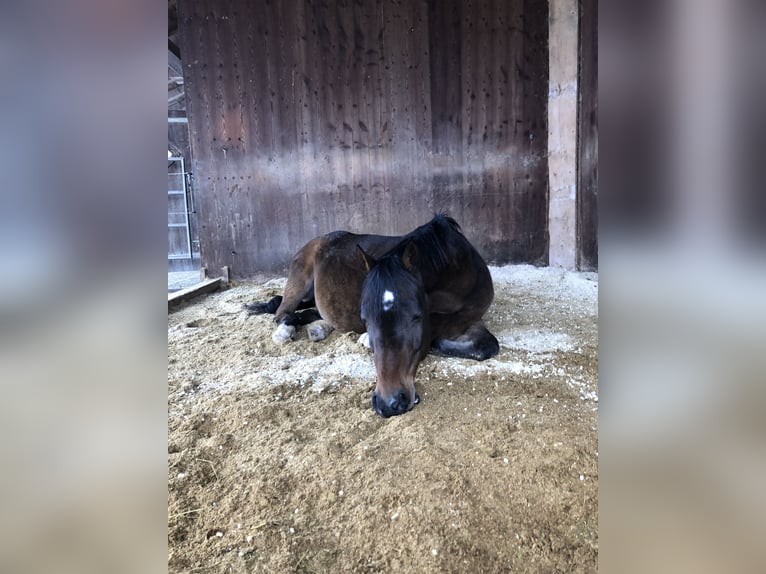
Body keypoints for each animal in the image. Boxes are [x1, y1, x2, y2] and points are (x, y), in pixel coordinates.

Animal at [249, 216, 504, 418]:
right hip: (298, 282)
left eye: (415, 317)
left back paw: (318, 329)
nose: (389, 403)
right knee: (282, 312)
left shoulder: (472, 319)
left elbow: (487, 345)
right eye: (365, 318)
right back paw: (285, 330)